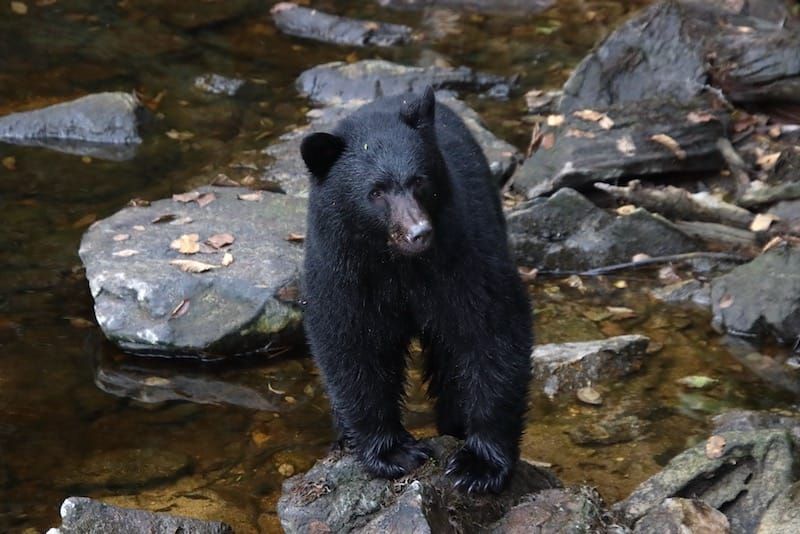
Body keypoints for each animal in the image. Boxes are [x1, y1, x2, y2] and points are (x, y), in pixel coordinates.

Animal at [299, 87, 533, 493]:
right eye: (376, 191)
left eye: (419, 181)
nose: (418, 232)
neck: (397, 262)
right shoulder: (341, 268)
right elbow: (352, 344)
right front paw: (393, 452)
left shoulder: (461, 252)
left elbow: (493, 329)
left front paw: (480, 465)